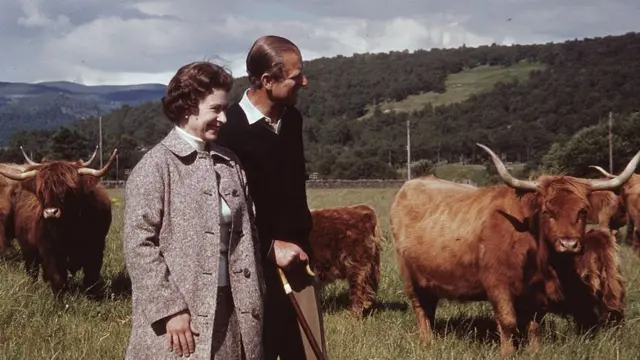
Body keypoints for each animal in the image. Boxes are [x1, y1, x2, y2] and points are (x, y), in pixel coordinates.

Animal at [0, 146, 115, 298]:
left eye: (70, 189)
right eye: (41, 190)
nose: (51, 212)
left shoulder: (96, 247)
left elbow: (91, 277)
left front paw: (92, 298)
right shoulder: (49, 250)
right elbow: (57, 277)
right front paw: (59, 301)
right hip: (27, 249)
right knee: (32, 271)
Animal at [390, 144, 640, 358]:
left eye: (583, 211)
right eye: (547, 211)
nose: (569, 244)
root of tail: (412, 184)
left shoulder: (537, 292)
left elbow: (535, 324)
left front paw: (535, 351)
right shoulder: (497, 284)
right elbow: (508, 321)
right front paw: (508, 352)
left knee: (430, 306)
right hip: (410, 276)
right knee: (421, 307)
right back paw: (427, 340)